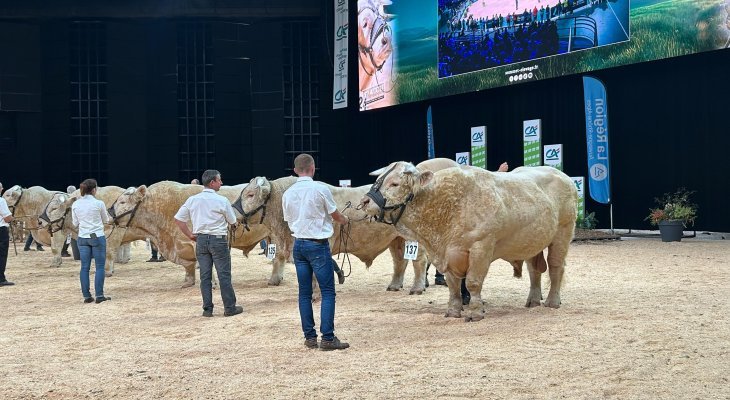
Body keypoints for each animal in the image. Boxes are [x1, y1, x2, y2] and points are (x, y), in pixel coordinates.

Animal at [108, 181, 268, 288]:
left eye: (122, 202)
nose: (109, 213)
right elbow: (189, 265)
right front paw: (188, 281)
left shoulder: (196, 242)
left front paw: (212, 283)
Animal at [233, 176, 430, 294]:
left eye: (250, 194)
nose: (233, 210)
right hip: (396, 239)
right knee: (399, 261)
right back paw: (395, 285)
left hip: (413, 239)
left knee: (419, 261)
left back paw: (417, 287)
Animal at [358, 162, 576, 322]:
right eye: (378, 180)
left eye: (394, 183)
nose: (365, 201)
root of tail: (564, 176)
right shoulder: (446, 253)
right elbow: (453, 284)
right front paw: (453, 311)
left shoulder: (482, 247)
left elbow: (472, 282)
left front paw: (475, 312)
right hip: (532, 242)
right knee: (534, 270)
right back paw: (533, 300)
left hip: (563, 232)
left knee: (556, 267)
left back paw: (552, 301)